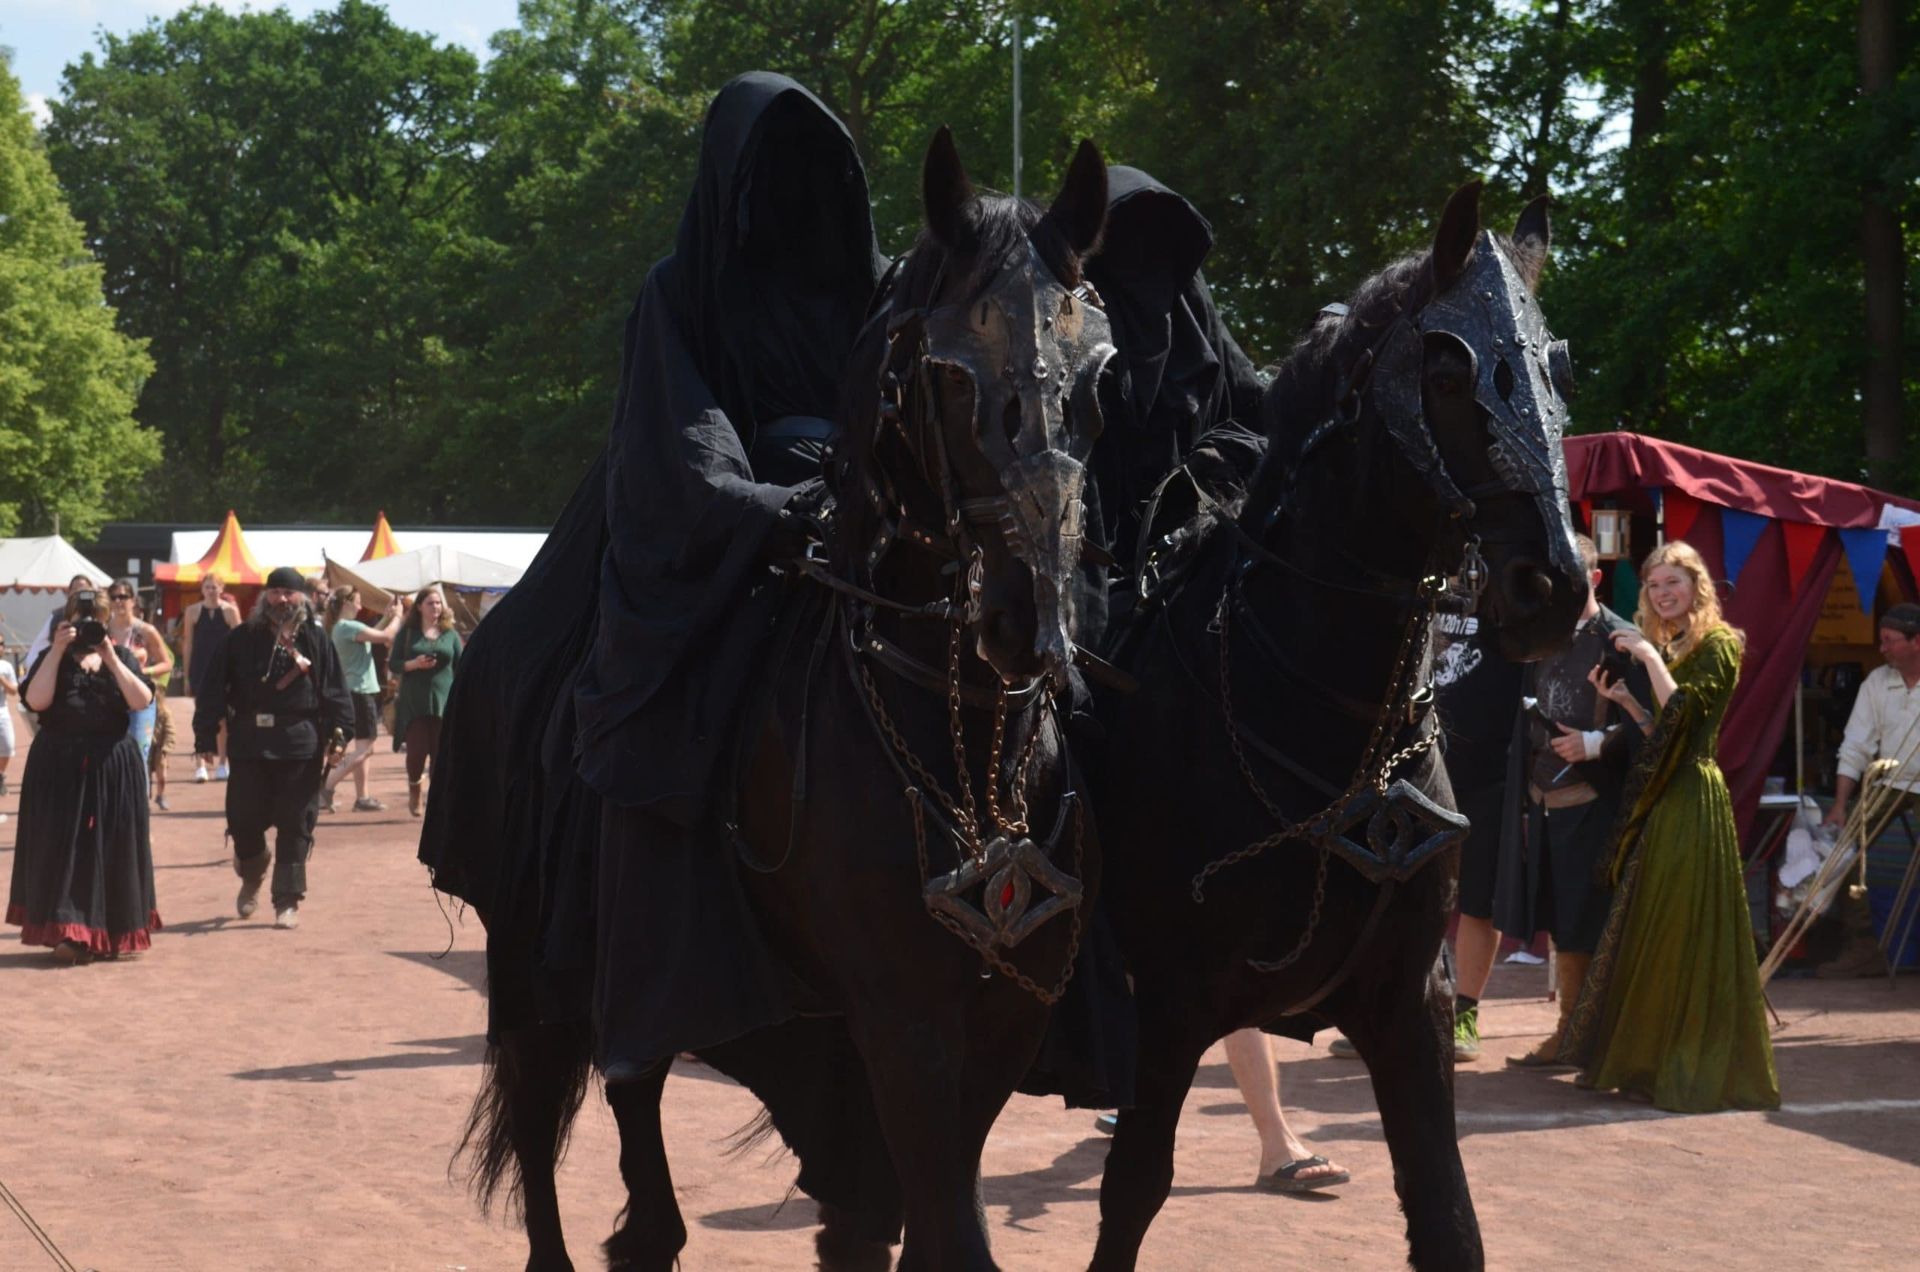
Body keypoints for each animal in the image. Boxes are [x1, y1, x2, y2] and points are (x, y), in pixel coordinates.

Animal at [464, 124, 1121, 1268]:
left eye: (1091, 378)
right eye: (949, 376)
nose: (1029, 618)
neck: (950, 726)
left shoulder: (995, 1017)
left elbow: (895, 1217)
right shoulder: (903, 1017)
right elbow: (949, 1231)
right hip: (540, 965)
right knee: (555, 1131)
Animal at [1090, 181, 1582, 1272]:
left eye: (1556, 375)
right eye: (1446, 371)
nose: (1554, 591)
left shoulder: (1408, 1007)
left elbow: (1447, 1217)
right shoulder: (1169, 1003)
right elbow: (1132, 1191)